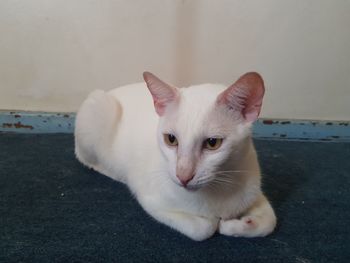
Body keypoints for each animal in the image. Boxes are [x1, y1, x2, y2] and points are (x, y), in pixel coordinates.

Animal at [74, 71, 276, 241]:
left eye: (213, 143)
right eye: (171, 139)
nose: (183, 176)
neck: (217, 190)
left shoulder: (252, 190)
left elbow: (269, 222)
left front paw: (237, 225)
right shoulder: (150, 200)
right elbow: (203, 228)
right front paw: (217, 223)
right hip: (98, 109)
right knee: (88, 160)